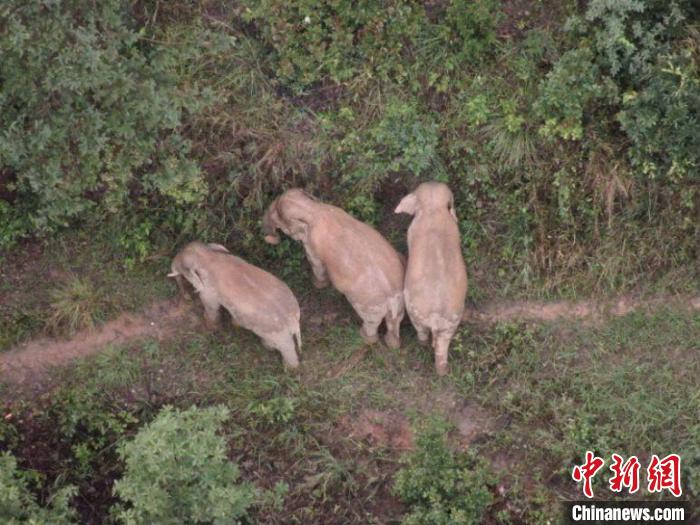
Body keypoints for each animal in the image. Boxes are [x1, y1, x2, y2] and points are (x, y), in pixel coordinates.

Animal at [170, 239, 304, 366]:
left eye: (183, 267)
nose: (187, 297)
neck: (208, 255)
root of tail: (294, 320)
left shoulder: (209, 289)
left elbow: (211, 306)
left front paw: (211, 327)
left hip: (277, 333)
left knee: (286, 347)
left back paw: (288, 366)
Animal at [262, 188, 404, 348]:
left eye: (278, 217)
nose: (269, 237)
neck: (313, 209)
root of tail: (392, 295)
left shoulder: (312, 245)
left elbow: (316, 264)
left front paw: (317, 284)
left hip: (370, 305)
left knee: (372, 321)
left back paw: (365, 337)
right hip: (400, 303)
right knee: (395, 320)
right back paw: (393, 344)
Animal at [396, 182, 468, 374]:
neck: (434, 209)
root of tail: (436, 316)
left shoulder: (412, 231)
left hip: (415, 311)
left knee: (421, 331)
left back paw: (422, 345)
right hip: (452, 320)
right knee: (443, 345)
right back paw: (444, 371)